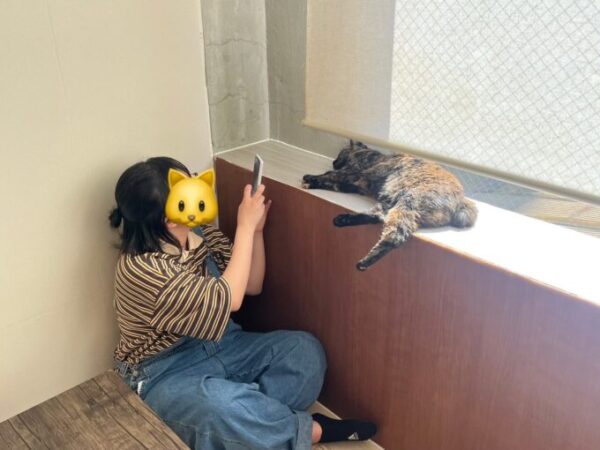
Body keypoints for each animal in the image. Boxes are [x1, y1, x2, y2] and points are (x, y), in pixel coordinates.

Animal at [302, 141, 478, 271]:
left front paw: (310, 178)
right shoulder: (355, 184)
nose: (333, 161)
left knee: (395, 236)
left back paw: (363, 263)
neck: (371, 155)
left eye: (340, 153)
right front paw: (312, 181)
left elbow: (330, 176)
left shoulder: (355, 174)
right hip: (390, 204)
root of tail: (462, 201)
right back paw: (341, 220)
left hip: (406, 204)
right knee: (377, 216)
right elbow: (332, 182)